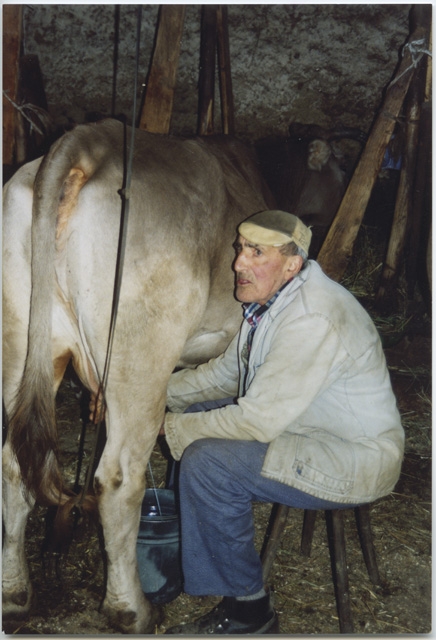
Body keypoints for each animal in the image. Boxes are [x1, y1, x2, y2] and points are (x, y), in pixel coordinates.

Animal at [2, 118, 275, 633]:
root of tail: (89, 141)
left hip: (21, 345)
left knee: (12, 463)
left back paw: (15, 594)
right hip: (139, 359)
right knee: (118, 479)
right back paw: (132, 610)